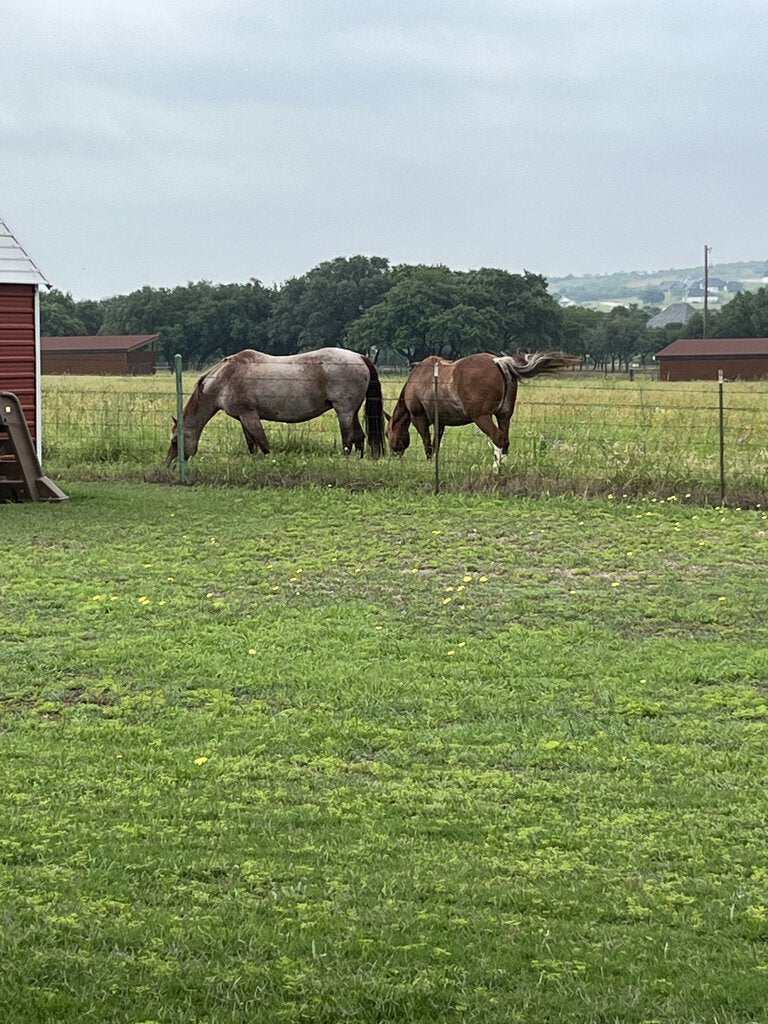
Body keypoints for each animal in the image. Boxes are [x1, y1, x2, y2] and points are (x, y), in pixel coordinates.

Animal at [165, 350, 387, 466]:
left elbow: (264, 445)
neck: (225, 379)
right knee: (359, 438)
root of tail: (359, 357)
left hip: (344, 412)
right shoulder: (243, 418)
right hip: (352, 411)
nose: (169, 464)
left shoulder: (250, 416)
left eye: (175, 441)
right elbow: (252, 445)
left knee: (348, 440)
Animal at [387, 348, 581, 468]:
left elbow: (428, 444)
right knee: (505, 441)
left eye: (387, 434)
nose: (393, 455)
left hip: (482, 418)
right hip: (504, 416)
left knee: (498, 439)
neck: (419, 378)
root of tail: (498, 361)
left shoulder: (418, 418)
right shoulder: (440, 422)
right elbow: (436, 444)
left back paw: (495, 470)